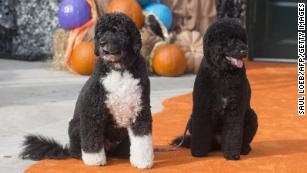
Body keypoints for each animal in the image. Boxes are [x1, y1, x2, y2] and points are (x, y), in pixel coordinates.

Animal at [20, 13, 154, 169]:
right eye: (100, 32)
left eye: (117, 30)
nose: (101, 43)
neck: (119, 70)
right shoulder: (92, 111)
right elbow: (92, 139)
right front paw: (94, 160)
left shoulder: (140, 110)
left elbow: (142, 139)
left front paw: (143, 161)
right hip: (75, 127)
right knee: (76, 149)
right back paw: (81, 154)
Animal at [173, 18, 258, 160]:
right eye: (229, 39)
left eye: (242, 39)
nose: (244, 51)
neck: (223, 74)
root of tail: (218, 144)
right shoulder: (201, 109)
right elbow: (201, 133)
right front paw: (198, 153)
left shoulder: (234, 110)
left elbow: (233, 134)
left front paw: (232, 155)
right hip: (192, 120)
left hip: (252, 116)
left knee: (244, 140)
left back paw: (244, 149)